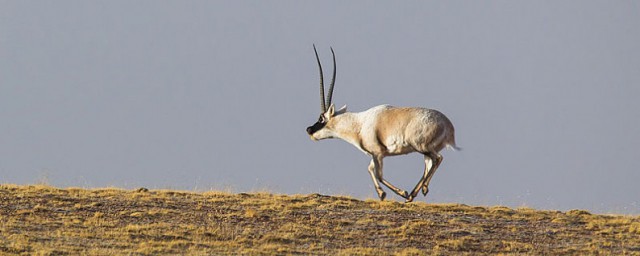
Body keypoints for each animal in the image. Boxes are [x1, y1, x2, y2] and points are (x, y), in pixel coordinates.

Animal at [306, 45, 460, 202]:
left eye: (322, 118)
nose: (309, 129)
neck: (360, 123)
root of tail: (448, 125)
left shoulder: (378, 153)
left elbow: (379, 175)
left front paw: (401, 192)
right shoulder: (375, 155)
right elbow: (369, 169)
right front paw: (382, 194)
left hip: (421, 146)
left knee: (437, 159)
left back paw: (415, 192)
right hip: (426, 150)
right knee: (429, 165)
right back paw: (416, 192)